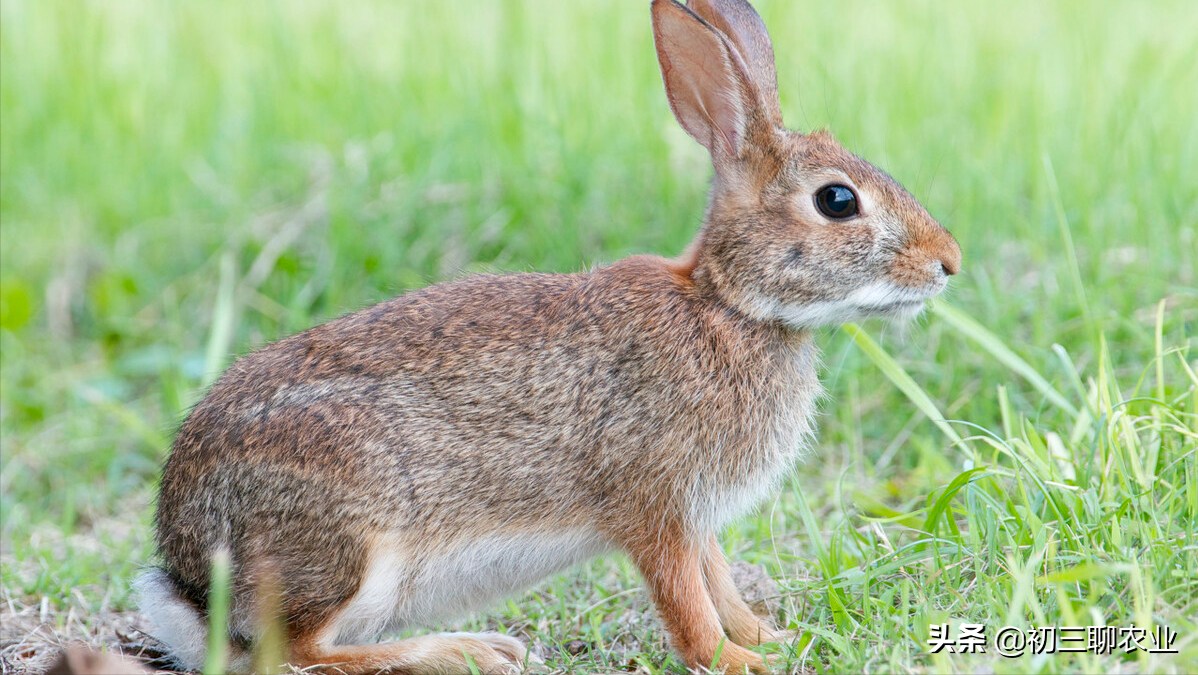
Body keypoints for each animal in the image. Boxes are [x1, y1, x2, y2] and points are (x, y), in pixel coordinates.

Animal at [135, 1, 958, 675]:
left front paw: (772, 638)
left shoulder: (698, 519)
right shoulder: (655, 504)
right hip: (351, 541)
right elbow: (685, 602)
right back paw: (466, 652)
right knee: (295, 652)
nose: (947, 262)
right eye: (838, 201)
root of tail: (187, 582)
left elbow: (718, 582)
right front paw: (739, 660)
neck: (729, 305)